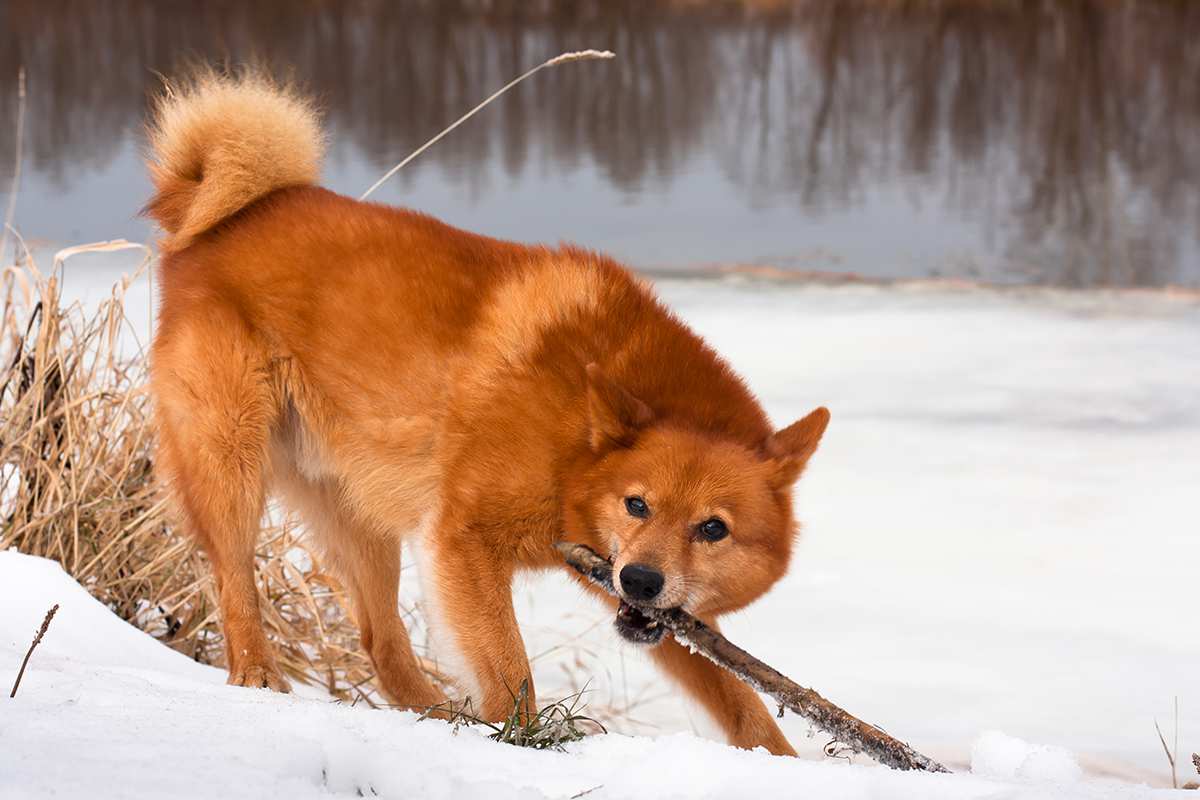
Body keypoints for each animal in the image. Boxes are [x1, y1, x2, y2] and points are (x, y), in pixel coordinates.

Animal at [145, 70, 830, 758]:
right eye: (636, 504)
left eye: (713, 528)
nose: (639, 580)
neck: (575, 441)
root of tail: (211, 221)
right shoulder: (463, 540)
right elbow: (510, 671)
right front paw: (523, 742)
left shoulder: (658, 606)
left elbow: (741, 700)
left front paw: (782, 761)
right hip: (233, 466)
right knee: (235, 583)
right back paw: (259, 675)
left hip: (362, 518)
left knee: (382, 645)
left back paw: (435, 716)